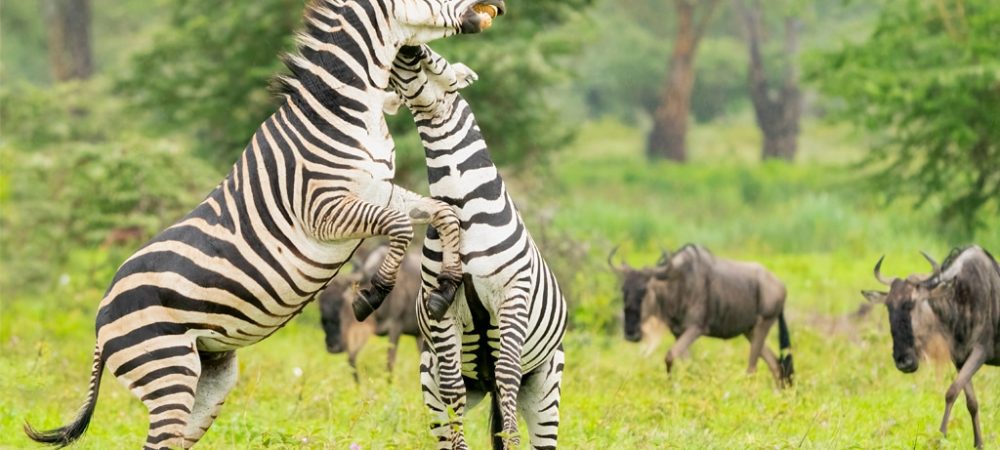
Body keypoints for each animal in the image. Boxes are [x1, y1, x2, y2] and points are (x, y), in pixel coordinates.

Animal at [23, 1, 505, 448]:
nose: (497, 7)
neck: (344, 111)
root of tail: (102, 315)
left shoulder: (378, 191)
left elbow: (444, 214)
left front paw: (445, 286)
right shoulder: (324, 210)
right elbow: (401, 228)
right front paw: (371, 294)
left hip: (208, 376)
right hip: (166, 371)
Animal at [386, 45, 567, 450]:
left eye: (436, 60)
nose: (409, 47)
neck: (462, 205)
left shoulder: (513, 295)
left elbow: (508, 374)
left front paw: (511, 441)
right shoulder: (442, 310)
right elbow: (452, 388)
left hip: (546, 386)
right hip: (429, 380)